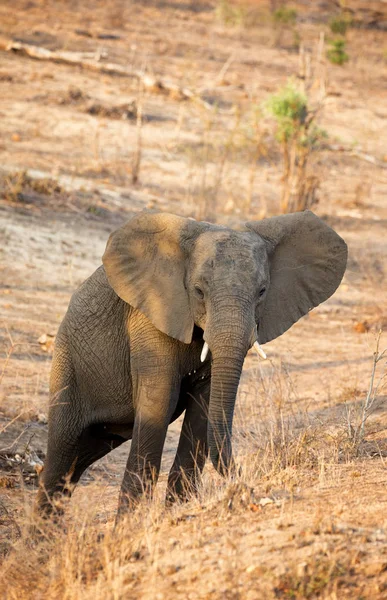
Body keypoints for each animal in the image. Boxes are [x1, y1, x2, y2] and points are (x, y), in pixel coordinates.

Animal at [37, 210, 348, 516]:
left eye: (262, 292)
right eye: (198, 291)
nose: (244, 482)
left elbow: (204, 406)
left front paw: (175, 510)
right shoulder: (151, 314)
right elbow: (159, 401)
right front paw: (130, 525)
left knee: (78, 460)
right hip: (67, 361)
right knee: (62, 454)